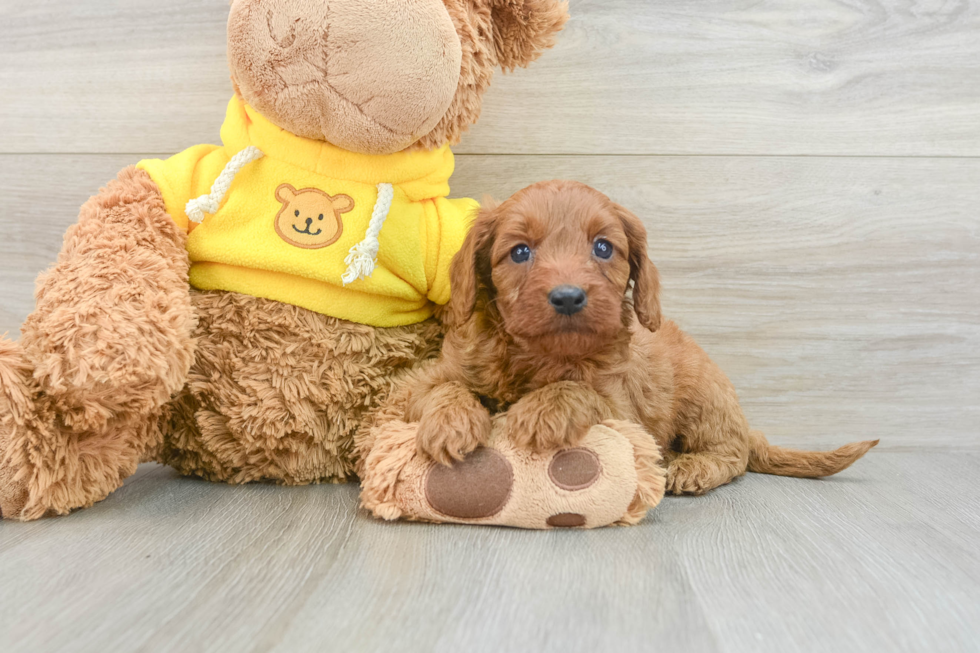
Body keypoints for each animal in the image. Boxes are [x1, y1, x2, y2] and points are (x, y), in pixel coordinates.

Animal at [402, 180, 876, 494]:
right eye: (520, 252)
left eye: (602, 247)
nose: (569, 297)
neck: (540, 356)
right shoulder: (421, 380)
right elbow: (443, 387)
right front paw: (450, 423)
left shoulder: (623, 408)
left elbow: (578, 390)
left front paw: (539, 411)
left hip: (705, 400)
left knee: (735, 455)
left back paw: (692, 468)